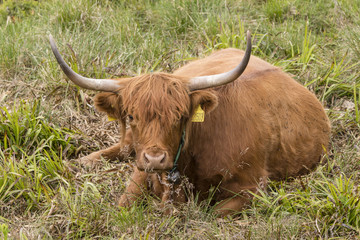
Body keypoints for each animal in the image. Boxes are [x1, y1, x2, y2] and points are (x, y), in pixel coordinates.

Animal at [49, 31, 330, 216]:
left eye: (180, 116)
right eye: (131, 116)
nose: (155, 158)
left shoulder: (253, 187)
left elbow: (213, 214)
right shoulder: (141, 169)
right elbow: (123, 204)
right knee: (119, 148)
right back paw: (77, 163)